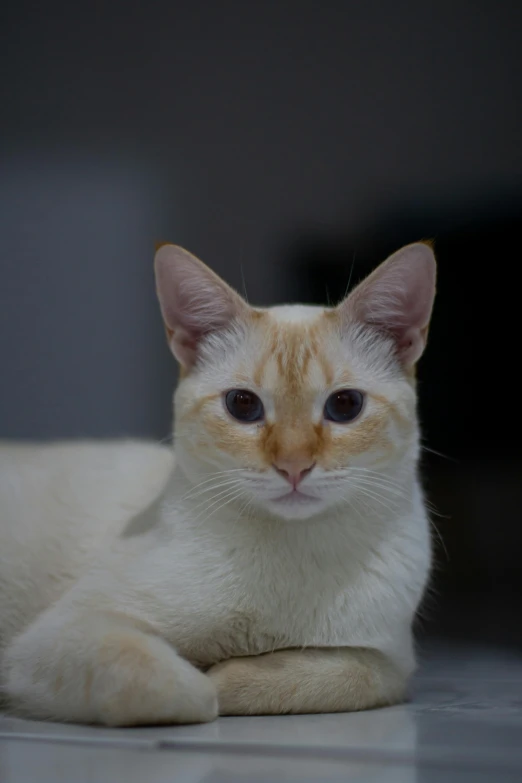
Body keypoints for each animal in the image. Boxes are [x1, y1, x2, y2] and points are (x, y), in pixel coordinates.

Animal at [0, 242, 434, 724]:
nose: (293, 466)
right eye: (242, 405)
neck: (288, 558)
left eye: (345, 406)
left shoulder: (390, 663)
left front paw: (229, 673)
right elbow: (183, 687)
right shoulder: (63, 631)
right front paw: (202, 678)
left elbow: (335, 675)